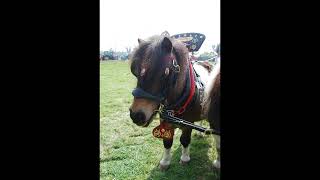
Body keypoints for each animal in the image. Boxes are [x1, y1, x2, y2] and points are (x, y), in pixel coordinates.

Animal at [129, 31, 219, 171]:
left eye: (164, 73)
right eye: (135, 72)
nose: (136, 115)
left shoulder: (188, 123)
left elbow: (185, 140)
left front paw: (185, 158)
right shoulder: (165, 119)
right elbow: (167, 141)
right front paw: (165, 161)